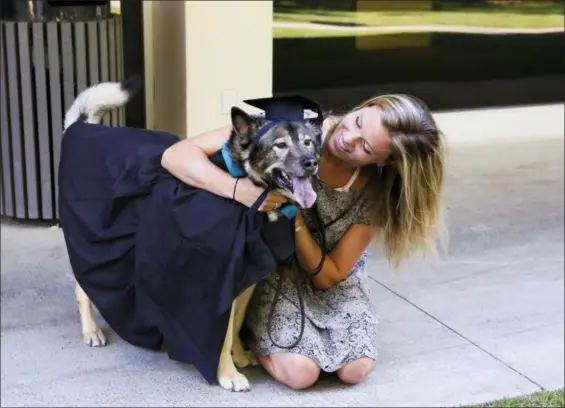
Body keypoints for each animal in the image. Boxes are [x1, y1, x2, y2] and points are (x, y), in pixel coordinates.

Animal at [61, 79, 322, 392]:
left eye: (308, 142)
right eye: (280, 145)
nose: (311, 162)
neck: (243, 181)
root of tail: (79, 128)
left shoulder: (246, 278)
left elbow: (235, 324)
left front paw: (239, 355)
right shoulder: (216, 280)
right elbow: (220, 333)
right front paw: (228, 374)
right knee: (82, 281)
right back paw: (91, 330)